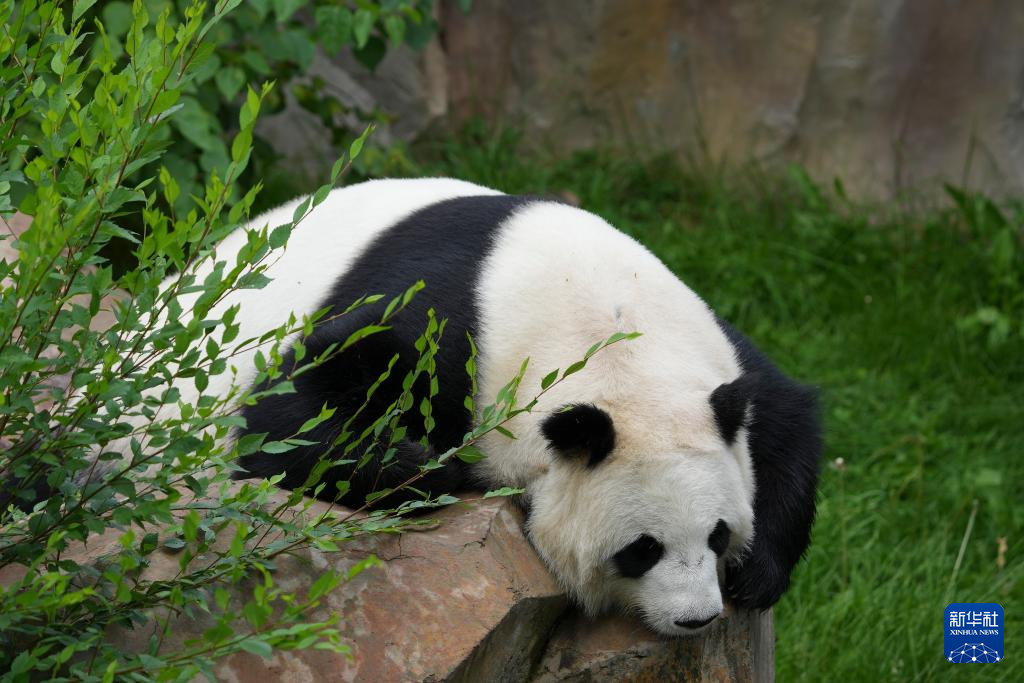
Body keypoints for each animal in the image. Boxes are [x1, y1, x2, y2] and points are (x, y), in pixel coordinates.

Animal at [105, 176, 823, 634]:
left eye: (718, 533)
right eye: (641, 549)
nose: (696, 617)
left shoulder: (710, 345)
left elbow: (785, 410)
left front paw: (758, 573)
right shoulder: (444, 324)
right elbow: (283, 413)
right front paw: (423, 465)